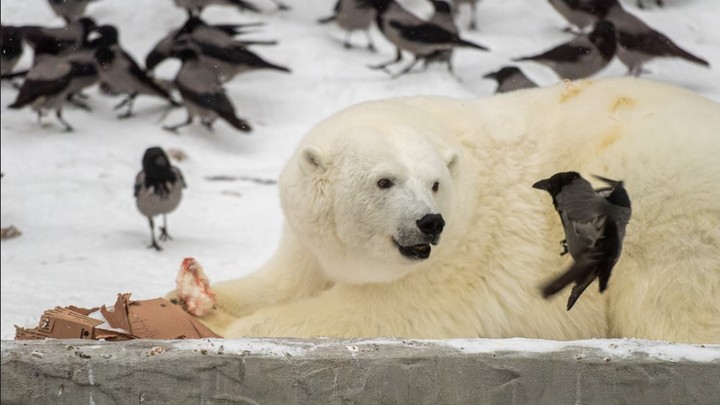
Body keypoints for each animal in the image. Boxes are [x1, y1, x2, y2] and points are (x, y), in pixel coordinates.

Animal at [188, 77, 716, 342]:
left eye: (435, 183)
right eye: (384, 180)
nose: (429, 221)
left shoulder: (464, 253)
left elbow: (385, 312)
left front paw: (226, 325)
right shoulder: (309, 237)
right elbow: (284, 280)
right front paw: (193, 291)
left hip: (663, 200)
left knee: (671, 300)